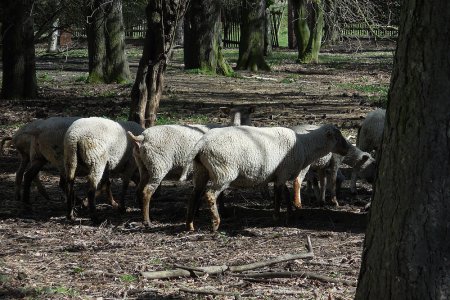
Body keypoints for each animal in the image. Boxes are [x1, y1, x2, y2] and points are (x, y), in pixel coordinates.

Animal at [185, 123, 352, 231]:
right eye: (338, 136)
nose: (348, 149)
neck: (305, 146)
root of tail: (201, 144)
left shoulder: (281, 174)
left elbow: (285, 193)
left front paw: (290, 213)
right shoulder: (283, 172)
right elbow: (278, 196)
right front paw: (277, 217)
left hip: (201, 170)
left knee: (194, 194)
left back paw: (190, 225)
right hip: (223, 171)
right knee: (210, 194)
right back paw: (215, 223)